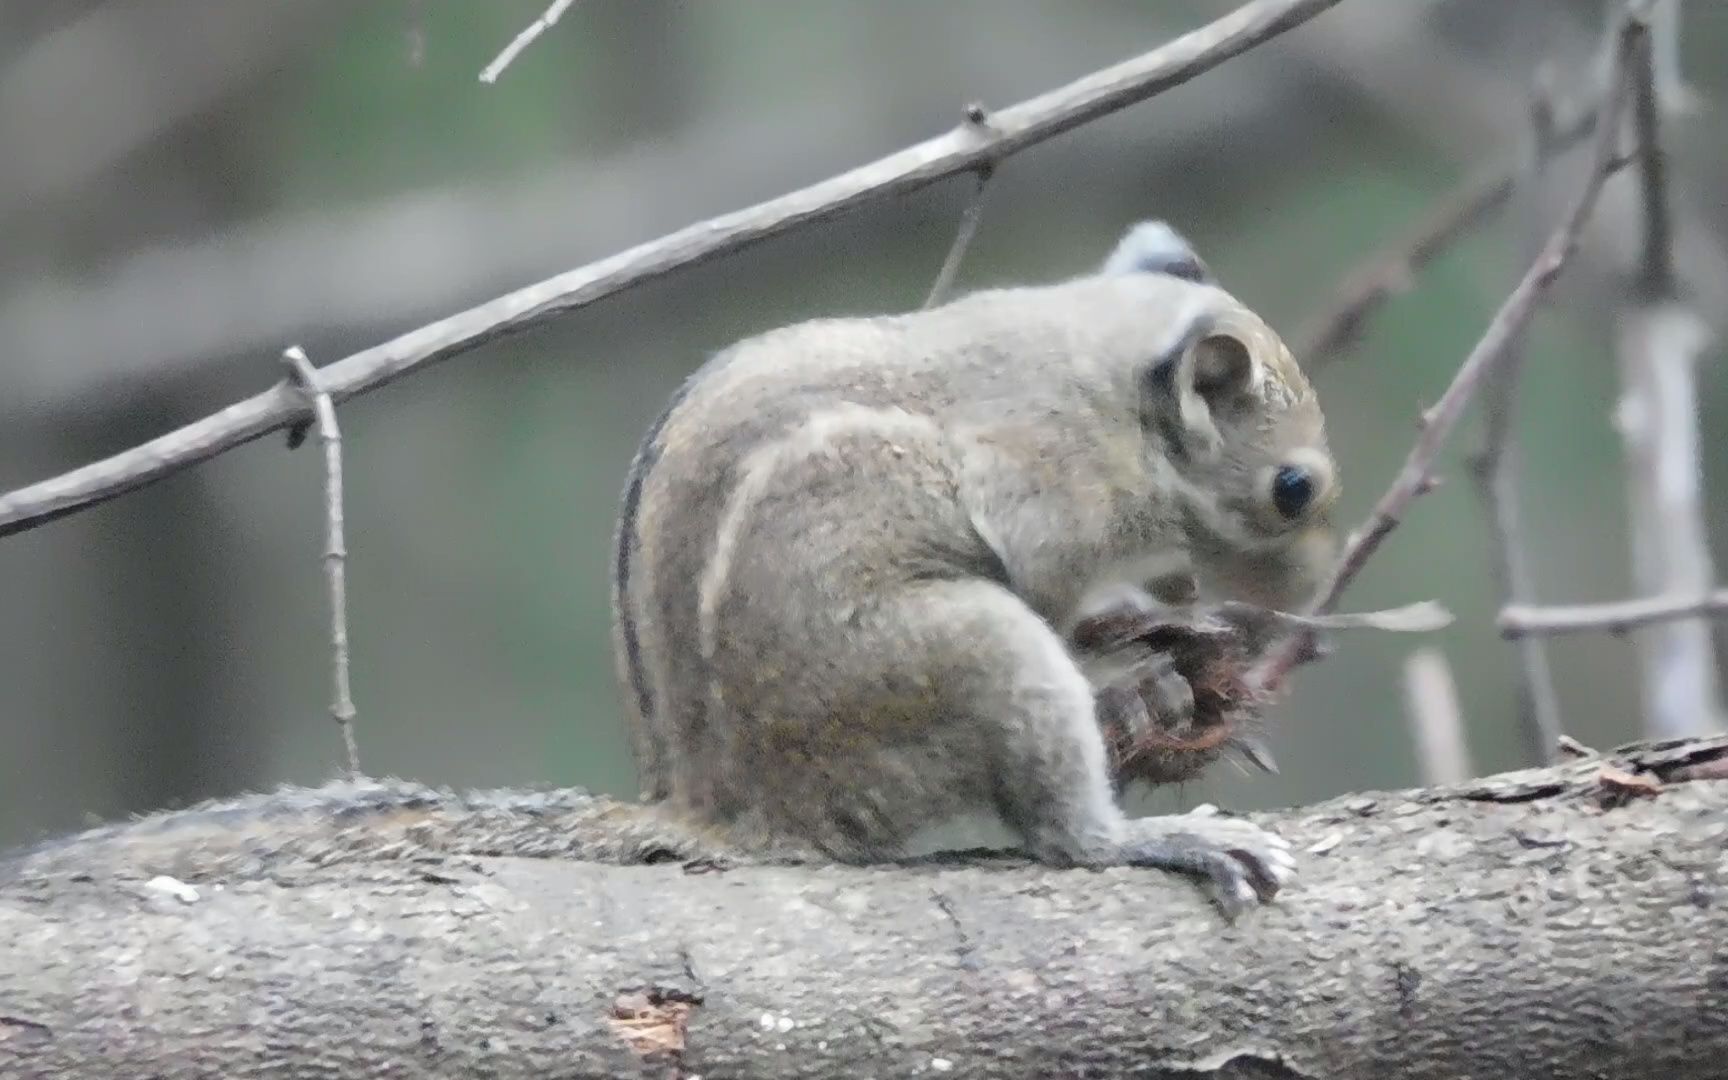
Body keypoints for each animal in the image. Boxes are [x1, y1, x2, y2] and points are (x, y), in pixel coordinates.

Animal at [615, 222, 1340, 912]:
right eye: (1294, 488)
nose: (1312, 592)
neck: (1117, 388)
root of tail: (737, 813)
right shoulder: (1051, 494)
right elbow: (1052, 591)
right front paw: (1136, 652)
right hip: (971, 661)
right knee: (1066, 838)